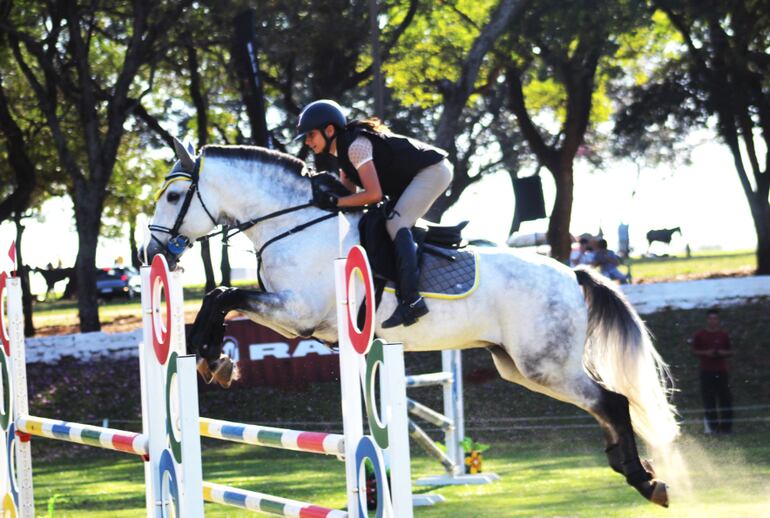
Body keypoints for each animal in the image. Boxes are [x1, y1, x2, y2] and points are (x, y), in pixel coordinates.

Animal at [141, 140, 679, 507]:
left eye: (173, 196)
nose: (149, 252)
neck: (292, 222)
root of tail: (573, 273)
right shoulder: (292, 317)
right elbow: (220, 298)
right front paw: (215, 359)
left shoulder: (298, 312)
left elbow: (223, 295)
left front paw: (211, 357)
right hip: (522, 367)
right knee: (604, 404)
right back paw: (636, 471)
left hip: (545, 363)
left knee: (612, 400)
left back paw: (646, 481)